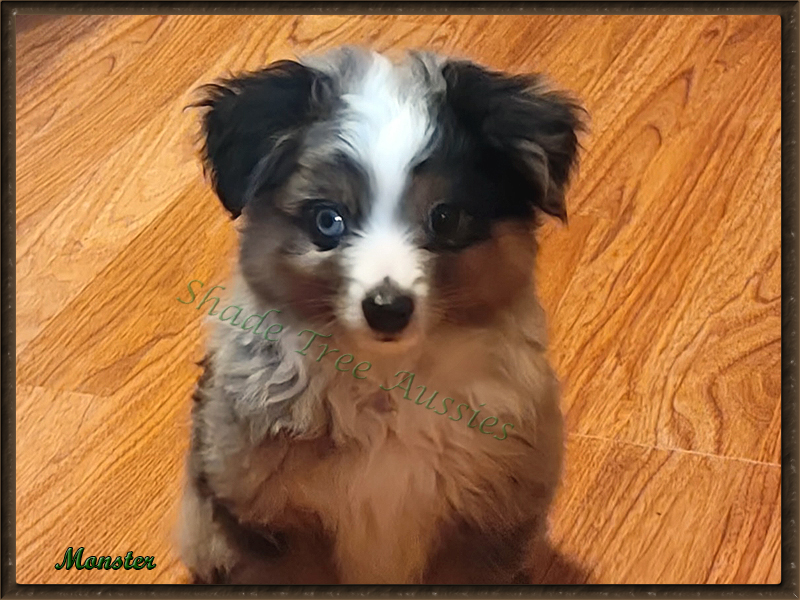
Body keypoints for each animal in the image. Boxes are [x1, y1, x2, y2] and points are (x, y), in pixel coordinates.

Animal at [178, 48, 584, 584]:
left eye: (445, 218)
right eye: (328, 220)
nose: (387, 309)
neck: (388, 383)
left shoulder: (486, 523)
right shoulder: (268, 523)